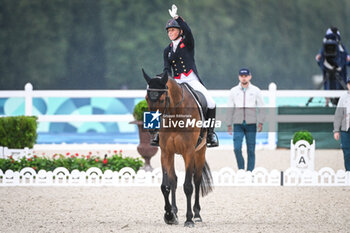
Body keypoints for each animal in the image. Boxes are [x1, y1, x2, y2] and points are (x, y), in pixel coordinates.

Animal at [142, 69, 213, 228]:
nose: (152, 129)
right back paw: (174, 211)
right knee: (174, 180)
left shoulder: (189, 152)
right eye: (147, 98)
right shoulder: (166, 153)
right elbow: (166, 185)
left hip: (201, 151)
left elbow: (188, 186)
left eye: (162, 100)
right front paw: (169, 215)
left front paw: (189, 219)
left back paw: (197, 215)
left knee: (197, 179)